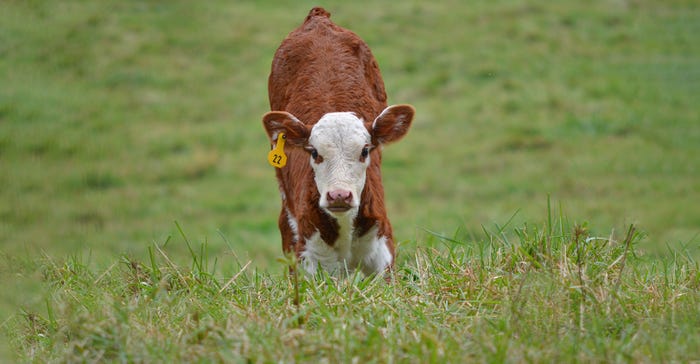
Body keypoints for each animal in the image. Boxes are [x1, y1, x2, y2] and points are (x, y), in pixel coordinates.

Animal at [262, 7, 416, 276]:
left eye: (365, 151)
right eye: (314, 152)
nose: (339, 195)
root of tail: (319, 18)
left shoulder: (383, 248)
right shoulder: (308, 257)